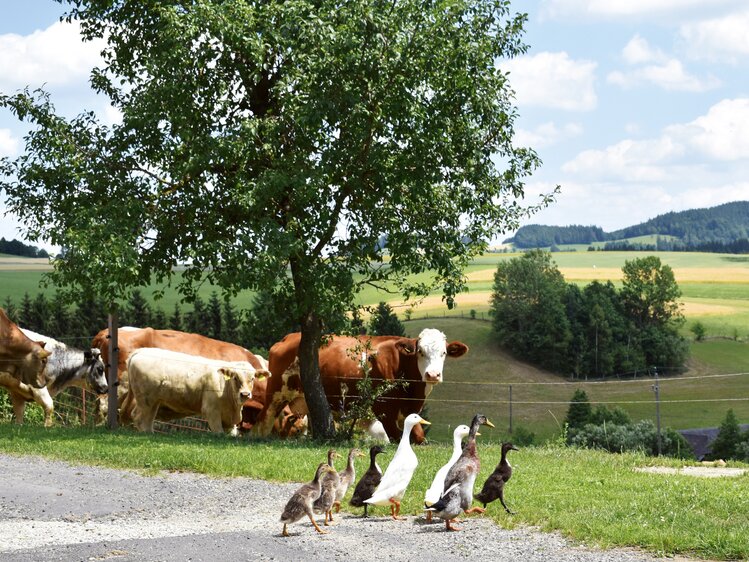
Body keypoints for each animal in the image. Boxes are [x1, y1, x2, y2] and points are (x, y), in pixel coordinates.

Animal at [124, 346, 262, 434]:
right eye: (235, 377)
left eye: (253, 378)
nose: (245, 394)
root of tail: (141, 351)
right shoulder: (211, 411)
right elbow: (219, 432)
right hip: (146, 400)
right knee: (139, 418)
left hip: (154, 402)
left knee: (147, 420)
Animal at [258, 328, 468, 442]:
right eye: (420, 352)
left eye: (443, 353)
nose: (433, 374)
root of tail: (289, 337)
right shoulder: (386, 414)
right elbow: (399, 438)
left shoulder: (411, 411)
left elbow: (419, 438)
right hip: (276, 394)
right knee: (264, 422)